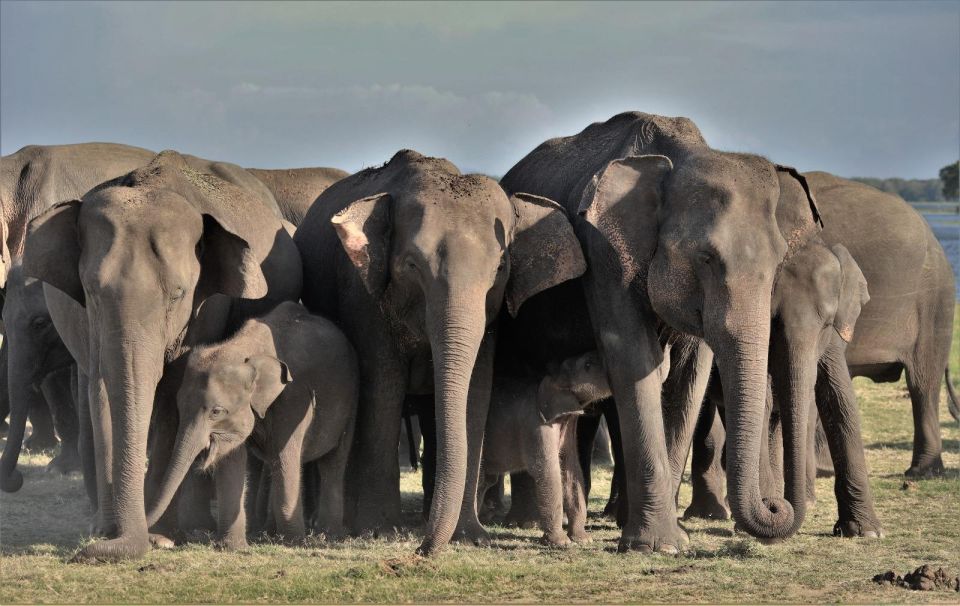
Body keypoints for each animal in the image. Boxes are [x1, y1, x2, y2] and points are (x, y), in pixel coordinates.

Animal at [21, 151, 300, 560]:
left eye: (179, 294)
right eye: (91, 291)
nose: (87, 551)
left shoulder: (208, 307)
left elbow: (172, 395)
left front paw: (160, 537)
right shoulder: (89, 320)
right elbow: (103, 390)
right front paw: (108, 532)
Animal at [148, 304, 358, 552]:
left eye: (216, 411)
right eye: (180, 406)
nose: (157, 540)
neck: (244, 348)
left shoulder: (294, 398)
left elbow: (285, 457)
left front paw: (294, 543)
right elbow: (232, 459)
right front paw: (234, 548)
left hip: (352, 400)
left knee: (332, 463)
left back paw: (326, 534)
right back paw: (269, 532)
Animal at [294, 151, 584, 556]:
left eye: (500, 268)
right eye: (411, 265)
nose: (421, 550)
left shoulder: (491, 319)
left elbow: (477, 391)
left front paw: (471, 536)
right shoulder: (362, 297)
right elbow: (383, 388)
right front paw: (380, 531)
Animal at [484, 350, 612, 548]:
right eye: (588, 365)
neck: (554, 376)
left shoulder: (568, 422)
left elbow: (570, 466)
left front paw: (583, 539)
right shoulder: (537, 425)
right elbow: (548, 470)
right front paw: (562, 544)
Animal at [498, 111, 820, 552]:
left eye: (778, 263)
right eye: (706, 258)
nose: (777, 506)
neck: (680, 154)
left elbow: (688, 377)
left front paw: (671, 538)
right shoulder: (604, 251)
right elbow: (634, 359)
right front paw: (656, 544)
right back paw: (527, 522)